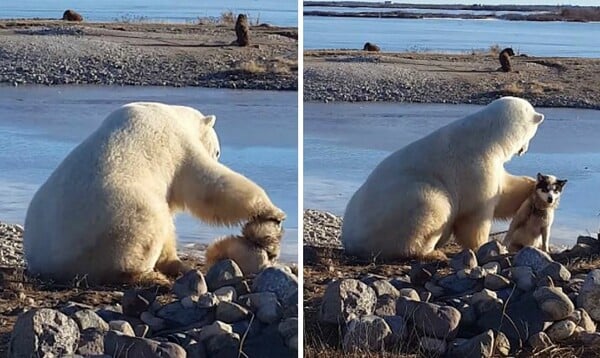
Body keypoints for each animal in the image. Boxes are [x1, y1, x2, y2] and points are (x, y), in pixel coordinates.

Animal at [23, 102, 286, 284]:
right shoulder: (176, 145)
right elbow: (207, 184)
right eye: (218, 151)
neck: (173, 115)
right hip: (114, 221)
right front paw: (273, 212)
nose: (217, 154)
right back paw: (149, 276)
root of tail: (47, 264)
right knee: (148, 225)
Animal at [342, 97, 544, 260]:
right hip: (402, 205)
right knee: (433, 205)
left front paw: (535, 185)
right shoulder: (475, 166)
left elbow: (505, 191)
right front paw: (482, 246)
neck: (487, 135)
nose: (524, 150)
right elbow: (475, 212)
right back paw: (431, 252)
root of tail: (349, 240)